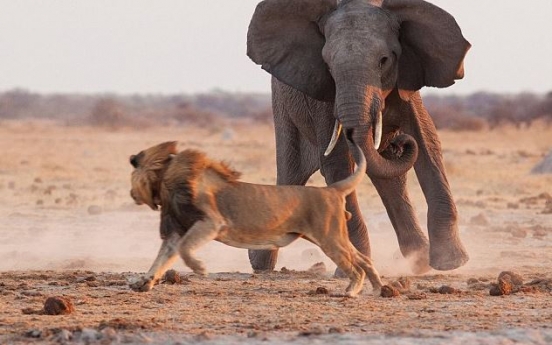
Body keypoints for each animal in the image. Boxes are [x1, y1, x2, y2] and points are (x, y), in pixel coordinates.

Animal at [127, 138, 382, 294]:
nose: (131, 194)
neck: (166, 180)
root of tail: (331, 189)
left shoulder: (211, 222)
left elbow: (184, 249)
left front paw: (200, 268)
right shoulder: (177, 228)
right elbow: (163, 256)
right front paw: (144, 282)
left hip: (329, 237)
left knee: (355, 265)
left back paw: (351, 291)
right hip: (333, 236)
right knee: (364, 258)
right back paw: (380, 289)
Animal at [246, 0, 470, 274]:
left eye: (384, 60)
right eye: (328, 65)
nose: (399, 142)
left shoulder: (407, 83)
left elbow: (428, 143)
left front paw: (451, 263)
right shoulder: (325, 97)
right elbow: (337, 164)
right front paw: (353, 270)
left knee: (390, 179)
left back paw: (418, 262)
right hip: (283, 109)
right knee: (291, 173)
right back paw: (260, 265)